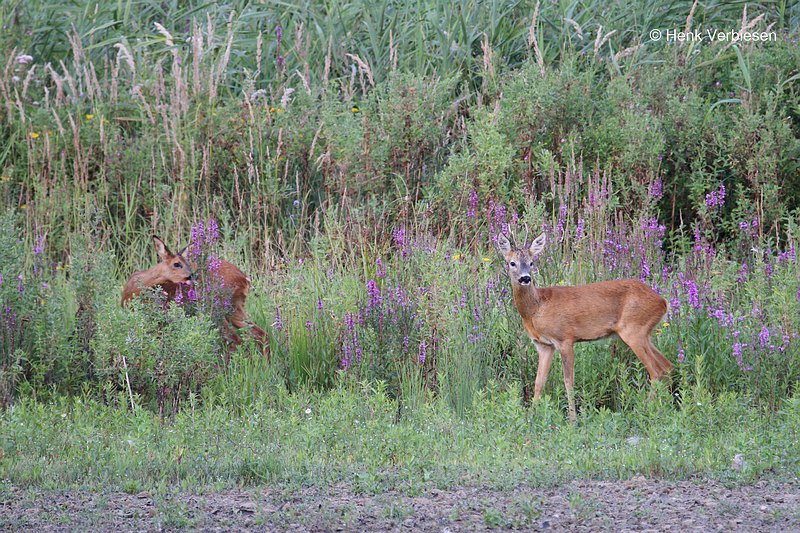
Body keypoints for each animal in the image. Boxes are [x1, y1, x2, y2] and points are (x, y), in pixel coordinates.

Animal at [120, 236, 268, 354]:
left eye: (187, 262)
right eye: (177, 264)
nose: (192, 275)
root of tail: (245, 279)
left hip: (218, 307)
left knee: (234, 339)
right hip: (235, 308)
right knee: (259, 333)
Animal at [496, 233, 672, 420]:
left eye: (531, 262)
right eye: (511, 262)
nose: (525, 278)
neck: (536, 309)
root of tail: (663, 302)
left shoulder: (565, 339)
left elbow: (568, 381)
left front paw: (573, 419)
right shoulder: (544, 345)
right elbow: (539, 381)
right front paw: (531, 416)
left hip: (634, 330)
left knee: (656, 371)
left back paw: (646, 410)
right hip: (645, 333)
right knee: (666, 366)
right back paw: (663, 407)